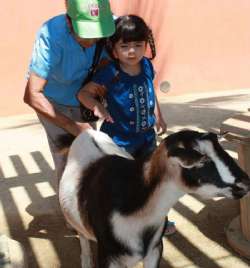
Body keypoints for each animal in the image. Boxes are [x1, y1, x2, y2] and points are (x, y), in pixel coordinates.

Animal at [59, 129, 250, 266]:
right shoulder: (108, 255)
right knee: (83, 239)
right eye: (202, 161)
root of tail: (87, 132)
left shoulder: (155, 248)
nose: (245, 184)